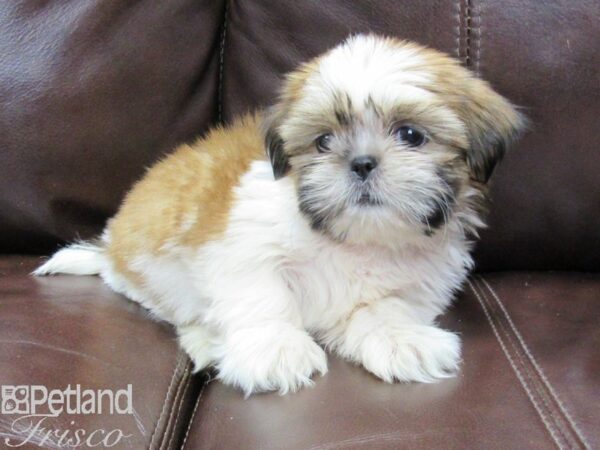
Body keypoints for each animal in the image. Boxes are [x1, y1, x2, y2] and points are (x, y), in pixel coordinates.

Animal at [36, 34, 524, 394]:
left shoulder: (414, 283)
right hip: (155, 273)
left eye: (410, 135)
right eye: (324, 141)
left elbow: (382, 309)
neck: (357, 239)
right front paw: (275, 350)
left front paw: (402, 340)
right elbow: (262, 295)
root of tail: (110, 249)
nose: (362, 163)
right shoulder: (242, 243)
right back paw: (208, 342)